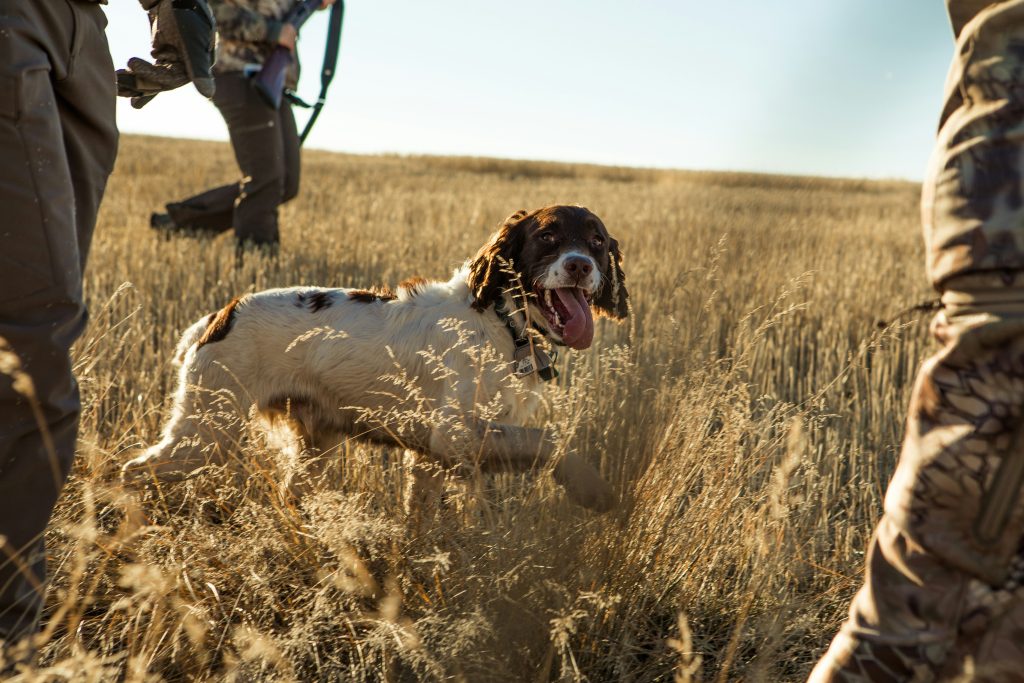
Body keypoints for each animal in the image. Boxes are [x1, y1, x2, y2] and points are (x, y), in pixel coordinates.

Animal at [123, 205, 626, 516]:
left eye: (597, 241)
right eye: (547, 236)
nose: (580, 265)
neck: (504, 324)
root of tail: (218, 316)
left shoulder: (432, 456)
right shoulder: (452, 433)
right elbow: (549, 440)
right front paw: (592, 489)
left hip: (312, 442)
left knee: (290, 492)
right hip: (205, 432)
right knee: (133, 471)